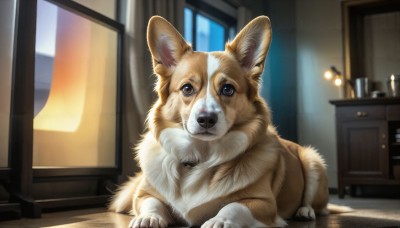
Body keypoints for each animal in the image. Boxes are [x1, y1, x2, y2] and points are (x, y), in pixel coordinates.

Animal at [110, 15, 332, 227]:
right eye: (187, 88)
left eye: (228, 89)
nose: (206, 119)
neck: (200, 156)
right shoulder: (143, 194)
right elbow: (152, 203)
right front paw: (148, 218)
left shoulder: (263, 202)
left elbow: (234, 206)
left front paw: (220, 220)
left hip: (313, 162)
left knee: (316, 204)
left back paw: (305, 212)